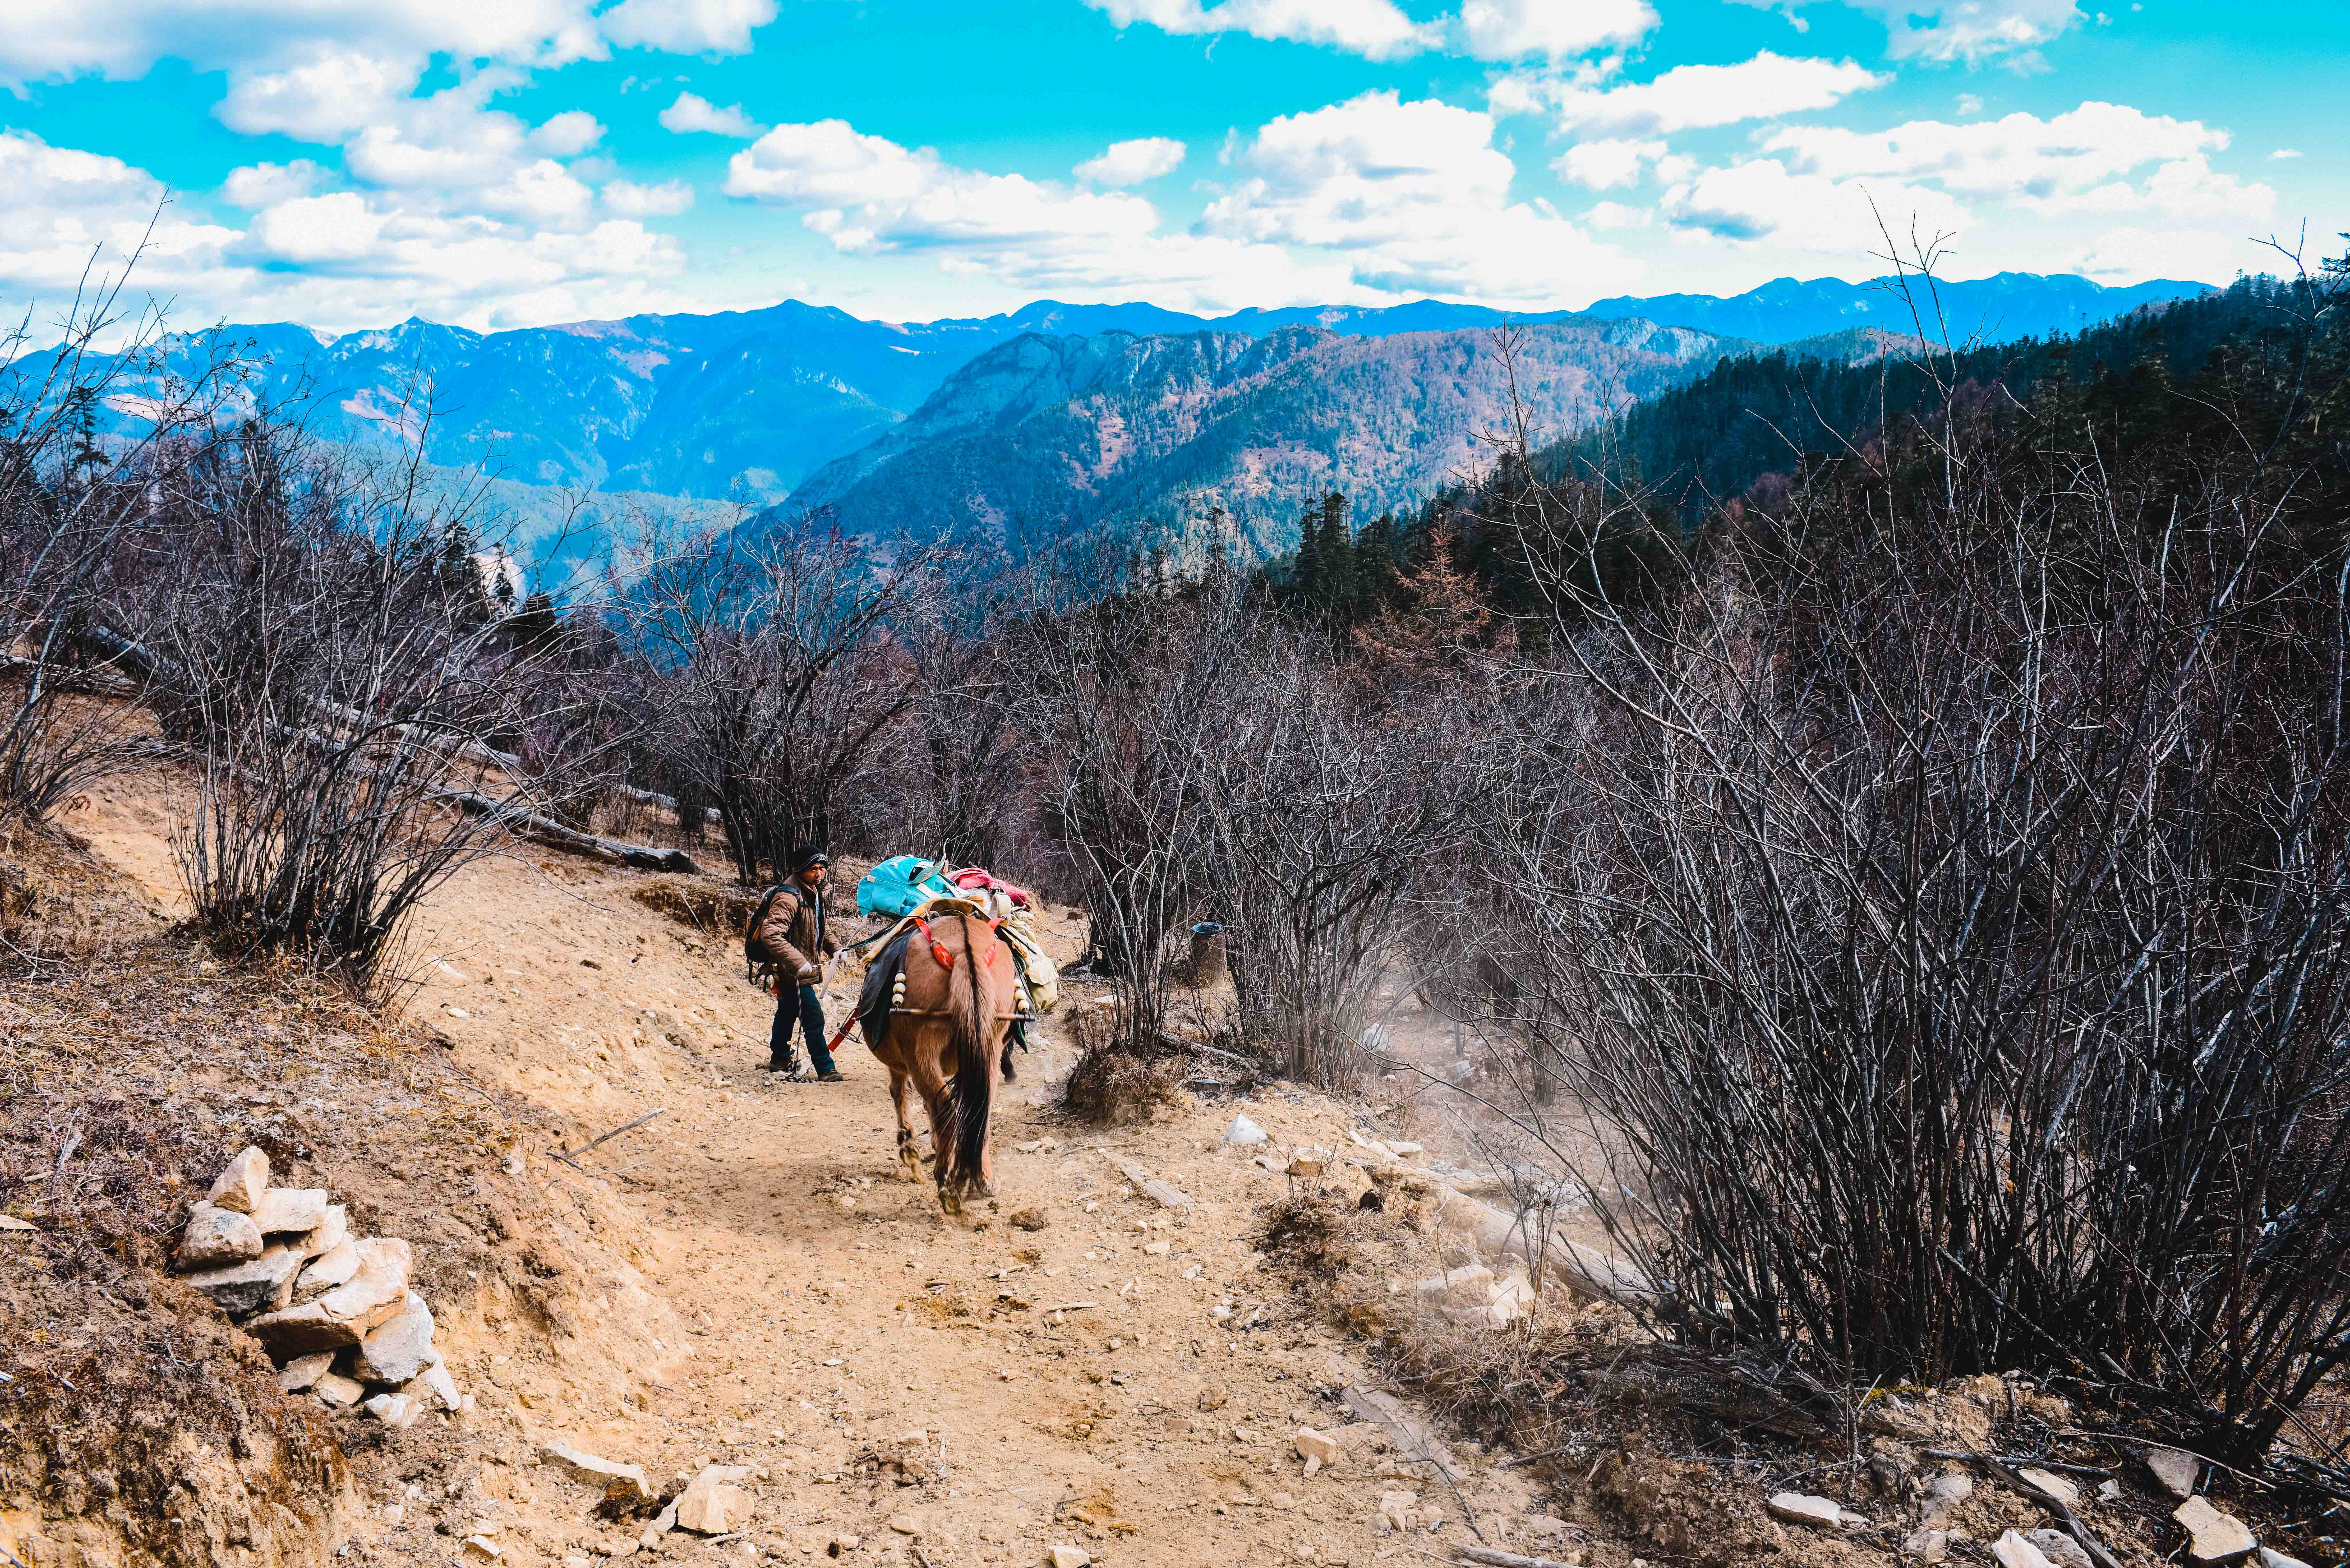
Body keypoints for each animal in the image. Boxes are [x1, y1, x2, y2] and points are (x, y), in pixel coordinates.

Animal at [857, 892, 1019, 1217]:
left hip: (923, 1046)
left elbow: (901, 1093)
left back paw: (946, 1182)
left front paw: (910, 1149)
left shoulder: (901, 1061)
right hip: (991, 1044)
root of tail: (965, 952)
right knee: (981, 1105)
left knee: (942, 1105)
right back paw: (984, 1179)